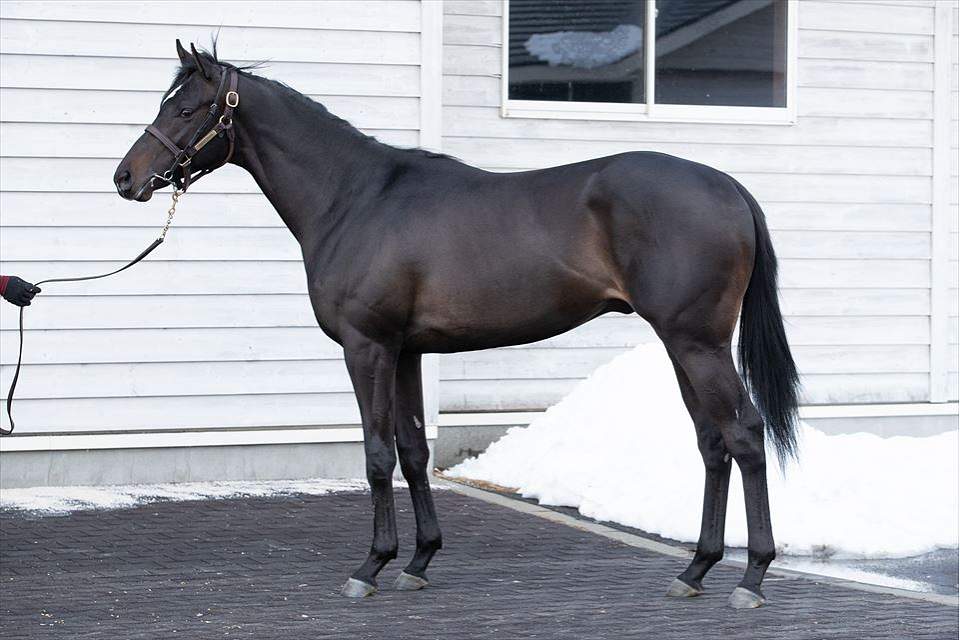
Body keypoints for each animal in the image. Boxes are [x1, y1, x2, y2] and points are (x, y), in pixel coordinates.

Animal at [115, 41, 800, 610]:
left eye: (186, 108)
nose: (126, 178)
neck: (356, 198)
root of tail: (729, 188)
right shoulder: (407, 352)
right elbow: (414, 451)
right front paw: (418, 561)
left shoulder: (368, 348)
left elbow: (376, 454)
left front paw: (370, 566)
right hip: (683, 347)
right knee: (712, 445)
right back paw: (695, 570)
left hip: (697, 343)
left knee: (744, 435)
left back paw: (751, 577)